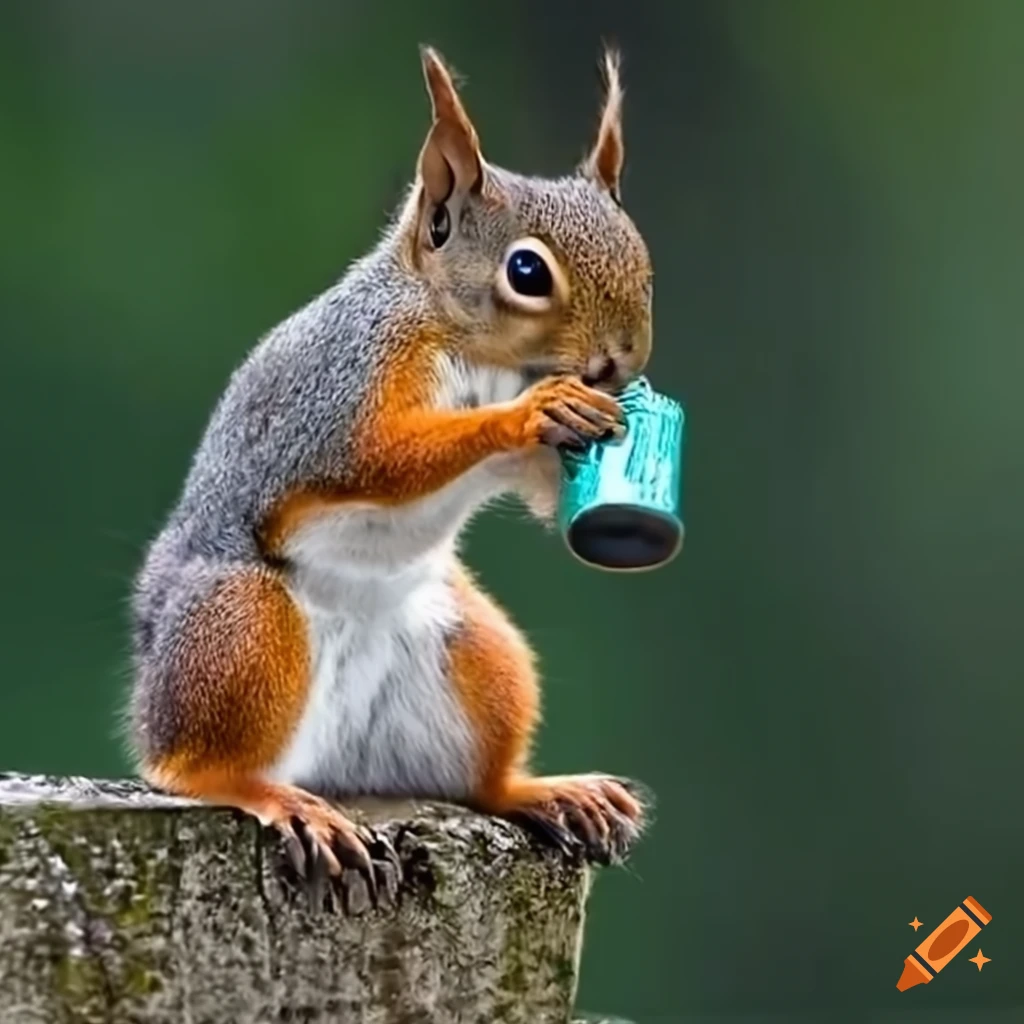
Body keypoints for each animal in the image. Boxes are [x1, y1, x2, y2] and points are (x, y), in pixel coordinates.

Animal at [128, 45, 654, 897]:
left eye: (644, 261)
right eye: (527, 273)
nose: (618, 363)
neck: (468, 346)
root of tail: (328, 762)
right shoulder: (348, 385)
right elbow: (380, 455)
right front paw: (535, 411)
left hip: (478, 652)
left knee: (480, 782)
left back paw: (540, 790)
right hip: (239, 625)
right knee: (191, 766)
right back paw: (266, 793)